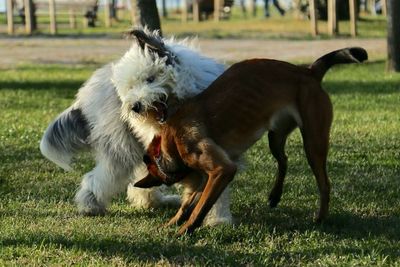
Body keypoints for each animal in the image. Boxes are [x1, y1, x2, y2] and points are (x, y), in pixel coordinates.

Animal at [40, 29, 231, 226]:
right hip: (121, 146)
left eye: (150, 79)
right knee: (100, 177)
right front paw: (217, 218)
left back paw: (156, 202)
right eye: (131, 86)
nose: (135, 106)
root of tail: (87, 92)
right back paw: (90, 206)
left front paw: (217, 218)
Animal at [136, 47, 368, 236]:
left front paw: (184, 230)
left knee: (324, 183)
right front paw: (171, 224)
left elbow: (199, 208)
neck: (169, 143)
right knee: (284, 159)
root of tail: (308, 71)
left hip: (313, 142)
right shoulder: (207, 176)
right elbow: (188, 206)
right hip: (276, 136)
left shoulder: (220, 170)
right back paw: (275, 196)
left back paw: (320, 218)